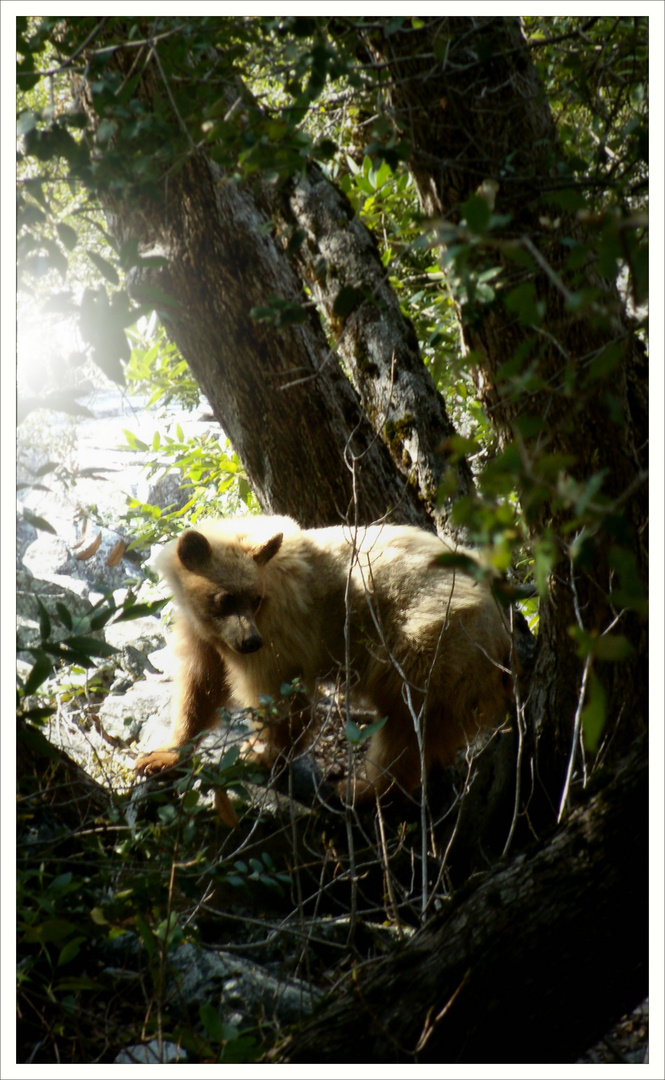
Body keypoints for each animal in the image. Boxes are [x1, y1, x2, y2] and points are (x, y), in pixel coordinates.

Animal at [136, 518, 513, 807]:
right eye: (226, 598)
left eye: (255, 598)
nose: (250, 641)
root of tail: (501, 627)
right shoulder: (202, 632)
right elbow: (201, 687)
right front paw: (162, 756)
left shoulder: (280, 629)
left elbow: (277, 691)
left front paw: (260, 751)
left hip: (429, 644)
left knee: (407, 725)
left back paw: (362, 789)